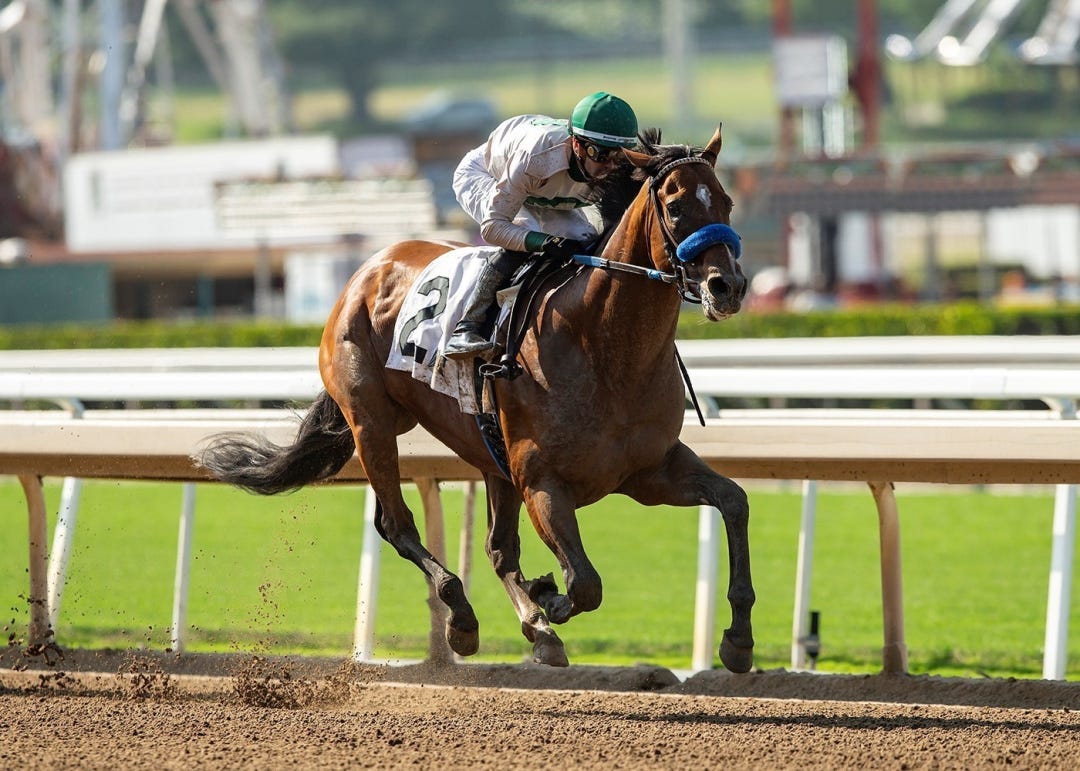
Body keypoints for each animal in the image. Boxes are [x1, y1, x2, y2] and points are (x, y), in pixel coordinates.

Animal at [199, 127, 755, 672]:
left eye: (727, 202)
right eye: (676, 206)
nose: (726, 286)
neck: (603, 345)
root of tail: (368, 268)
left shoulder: (648, 470)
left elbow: (734, 500)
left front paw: (738, 639)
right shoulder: (542, 482)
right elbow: (584, 583)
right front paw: (548, 596)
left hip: (488, 456)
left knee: (496, 548)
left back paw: (534, 628)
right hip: (372, 421)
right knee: (396, 523)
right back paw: (464, 617)